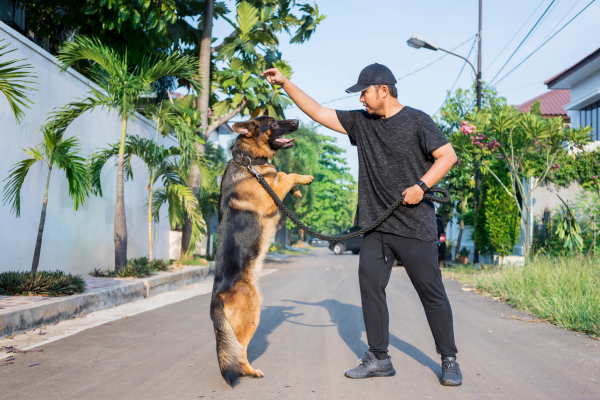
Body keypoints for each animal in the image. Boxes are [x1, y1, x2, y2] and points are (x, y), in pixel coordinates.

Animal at [211, 116, 314, 388]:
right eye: (274, 122)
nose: (296, 120)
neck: (248, 162)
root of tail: (217, 297)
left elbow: (282, 174)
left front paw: (296, 190)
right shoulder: (270, 199)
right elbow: (287, 175)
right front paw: (303, 179)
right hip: (253, 313)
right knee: (240, 349)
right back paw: (249, 371)